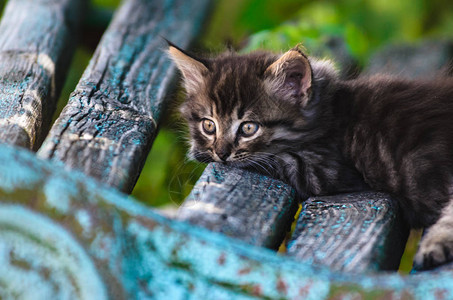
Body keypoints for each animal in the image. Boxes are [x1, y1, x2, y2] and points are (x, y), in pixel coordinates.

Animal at [168, 42, 452, 270]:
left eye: (248, 128)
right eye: (209, 125)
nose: (221, 153)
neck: (328, 113)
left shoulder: (324, 169)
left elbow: (268, 159)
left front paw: (197, 153)